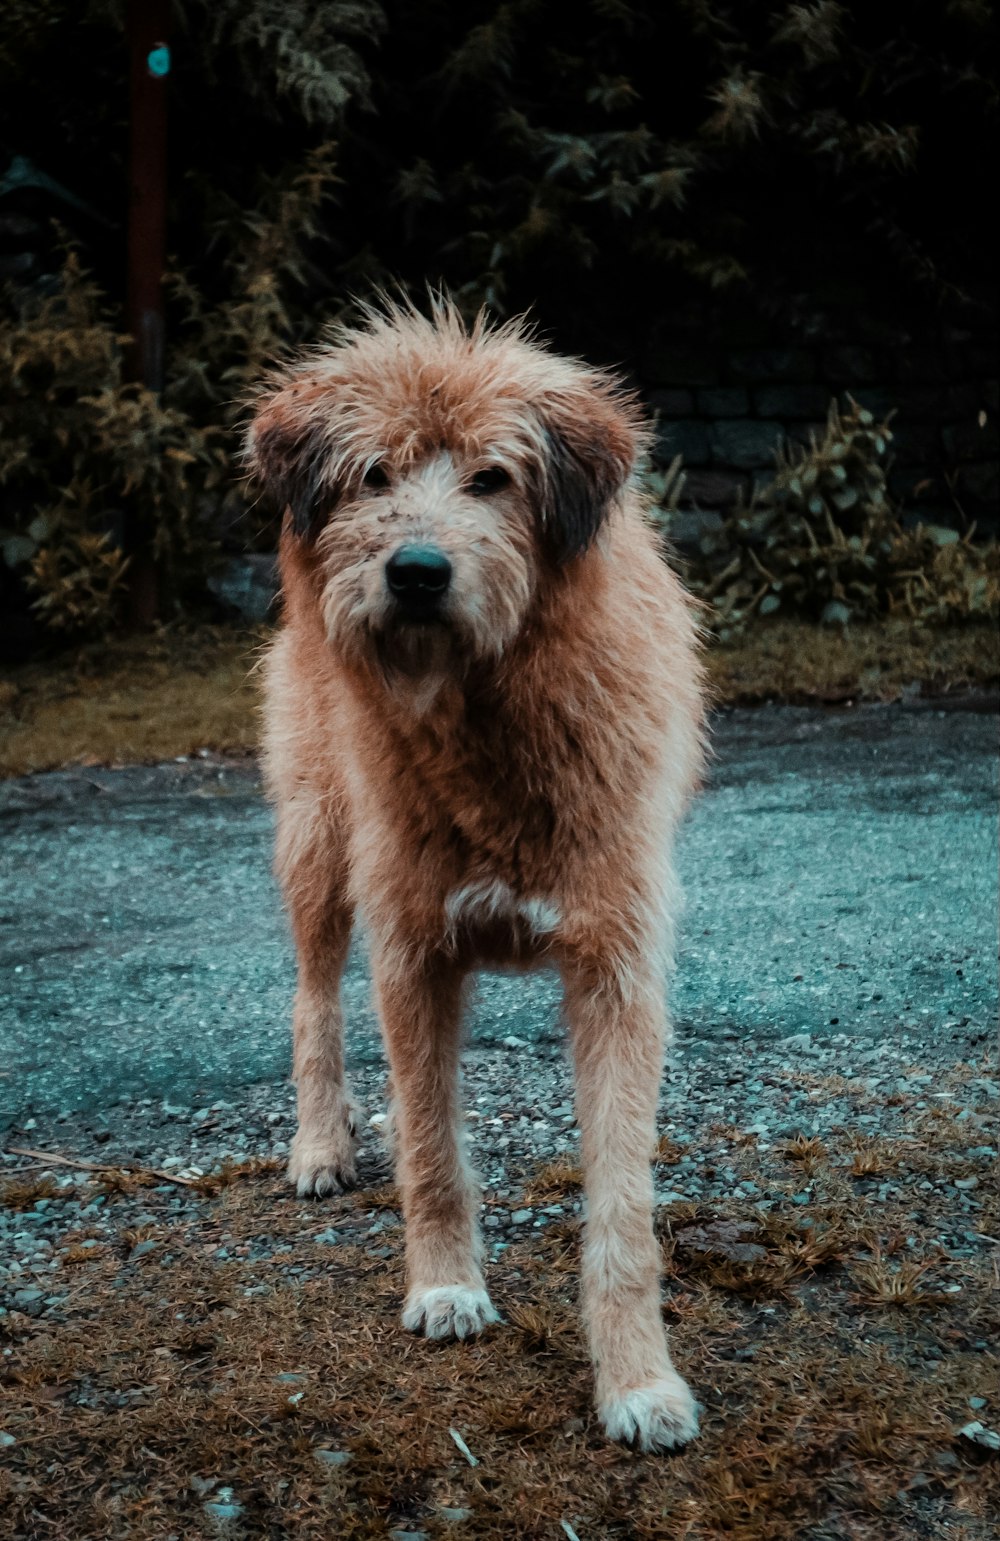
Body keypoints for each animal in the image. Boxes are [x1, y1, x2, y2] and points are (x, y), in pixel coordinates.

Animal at [248, 303, 702, 1454]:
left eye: (493, 478)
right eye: (374, 473)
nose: (415, 570)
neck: (485, 715)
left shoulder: (617, 968)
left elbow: (623, 1205)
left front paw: (638, 1380)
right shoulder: (414, 949)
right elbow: (431, 1151)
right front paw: (446, 1286)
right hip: (317, 847)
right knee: (314, 996)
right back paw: (321, 1140)